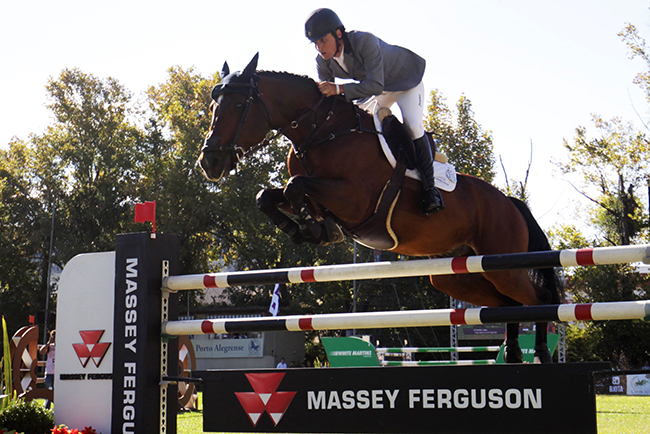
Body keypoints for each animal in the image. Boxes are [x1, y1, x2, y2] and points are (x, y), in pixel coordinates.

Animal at [198, 54, 562, 363]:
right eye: (214, 104)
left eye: (239, 105)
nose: (209, 162)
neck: (321, 131)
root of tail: (510, 202)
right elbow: (268, 195)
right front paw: (303, 228)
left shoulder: (354, 199)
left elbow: (296, 185)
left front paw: (315, 228)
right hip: (458, 275)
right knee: (509, 304)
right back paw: (514, 354)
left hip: (503, 265)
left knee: (539, 300)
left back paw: (541, 353)